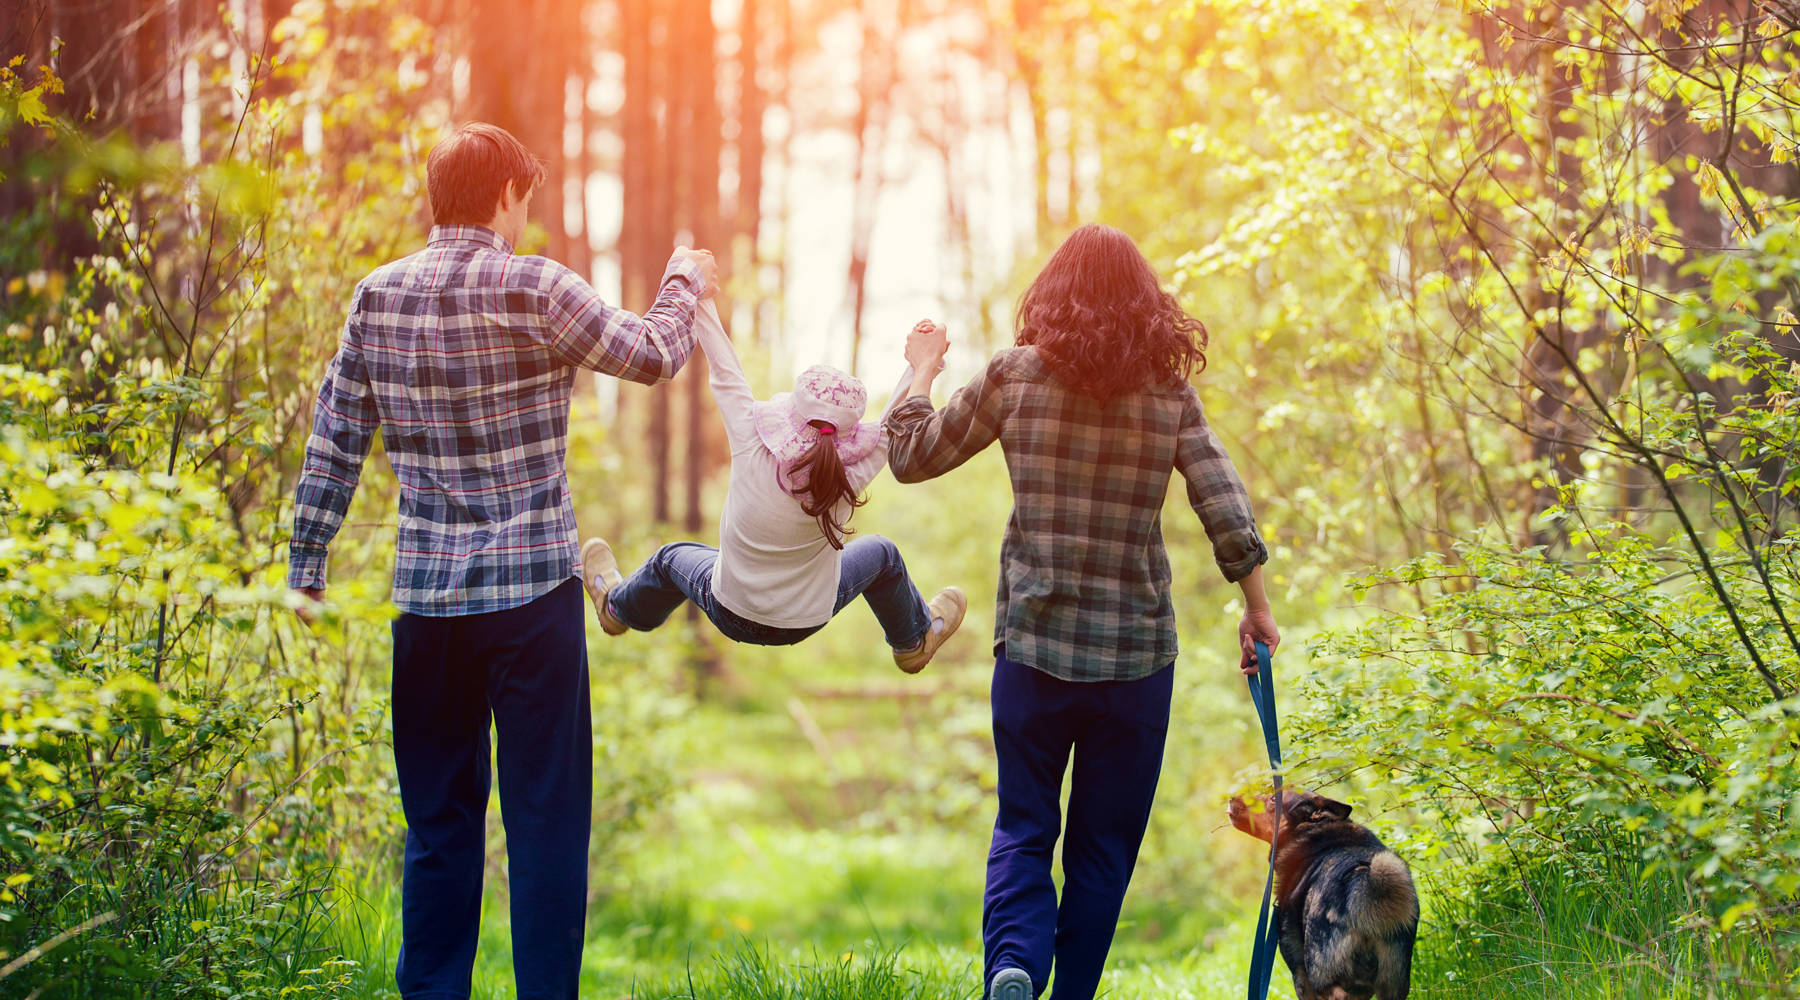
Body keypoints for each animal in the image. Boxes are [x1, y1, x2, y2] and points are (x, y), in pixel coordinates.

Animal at [1224, 787, 1418, 1000]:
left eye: (1274, 798)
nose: (1232, 798)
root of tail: (1364, 882)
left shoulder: (1299, 972)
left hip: (1320, 973)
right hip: (1394, 985)